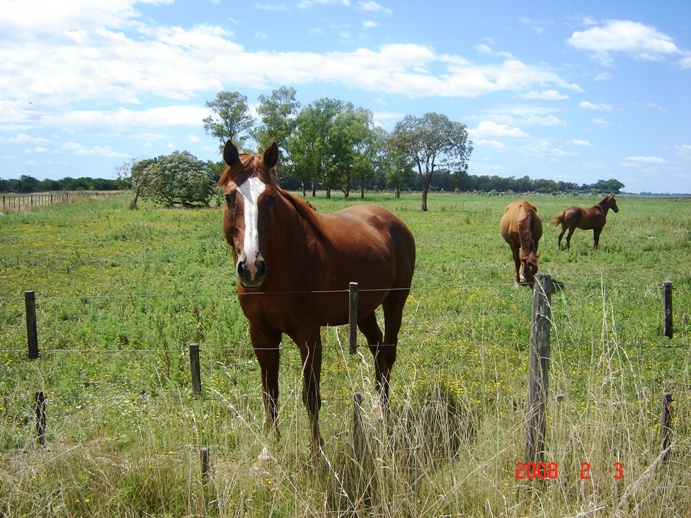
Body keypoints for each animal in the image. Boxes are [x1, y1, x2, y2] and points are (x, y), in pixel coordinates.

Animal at [218, 141, 416, 456]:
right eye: (228, 197)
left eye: (270, 199)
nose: (251, 267)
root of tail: (392, 219)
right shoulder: (261, 334)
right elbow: (269, 392)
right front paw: (270, 447)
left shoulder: (309, 336)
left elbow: (310, 395)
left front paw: (316, 451)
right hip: (363, 310)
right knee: (376, 349)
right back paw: (377, 410)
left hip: (395, 302)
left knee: (388, 354)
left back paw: (384, 414)